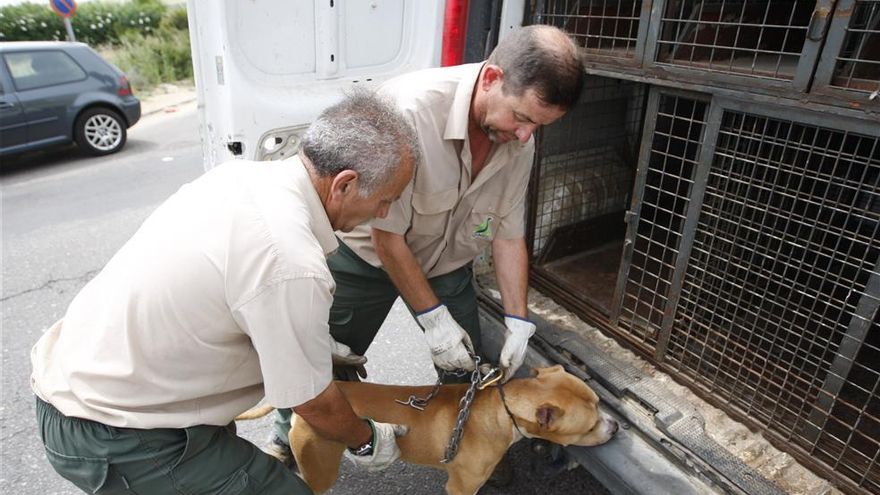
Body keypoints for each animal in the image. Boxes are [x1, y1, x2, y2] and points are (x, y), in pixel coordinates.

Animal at [237, 366, 616, 494]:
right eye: (590, 425)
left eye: (601, 403)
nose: (615, 426)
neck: (502, 410)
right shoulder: (460, 488)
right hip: (319, 469)